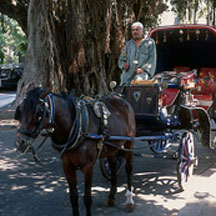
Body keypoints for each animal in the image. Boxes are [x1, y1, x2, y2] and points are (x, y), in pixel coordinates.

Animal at [13, 88, 135, 216]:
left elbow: (87, 199)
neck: (76, 126)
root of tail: (121, 98)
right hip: (111, 148)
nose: (19, 143)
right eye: (20, 110)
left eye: (38, 112)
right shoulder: (67, 166)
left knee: (128, 168)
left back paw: (129, 200)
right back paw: (111, 196)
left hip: (129, 142)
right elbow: (73, 197)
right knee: (113, 166)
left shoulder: (88, 167)